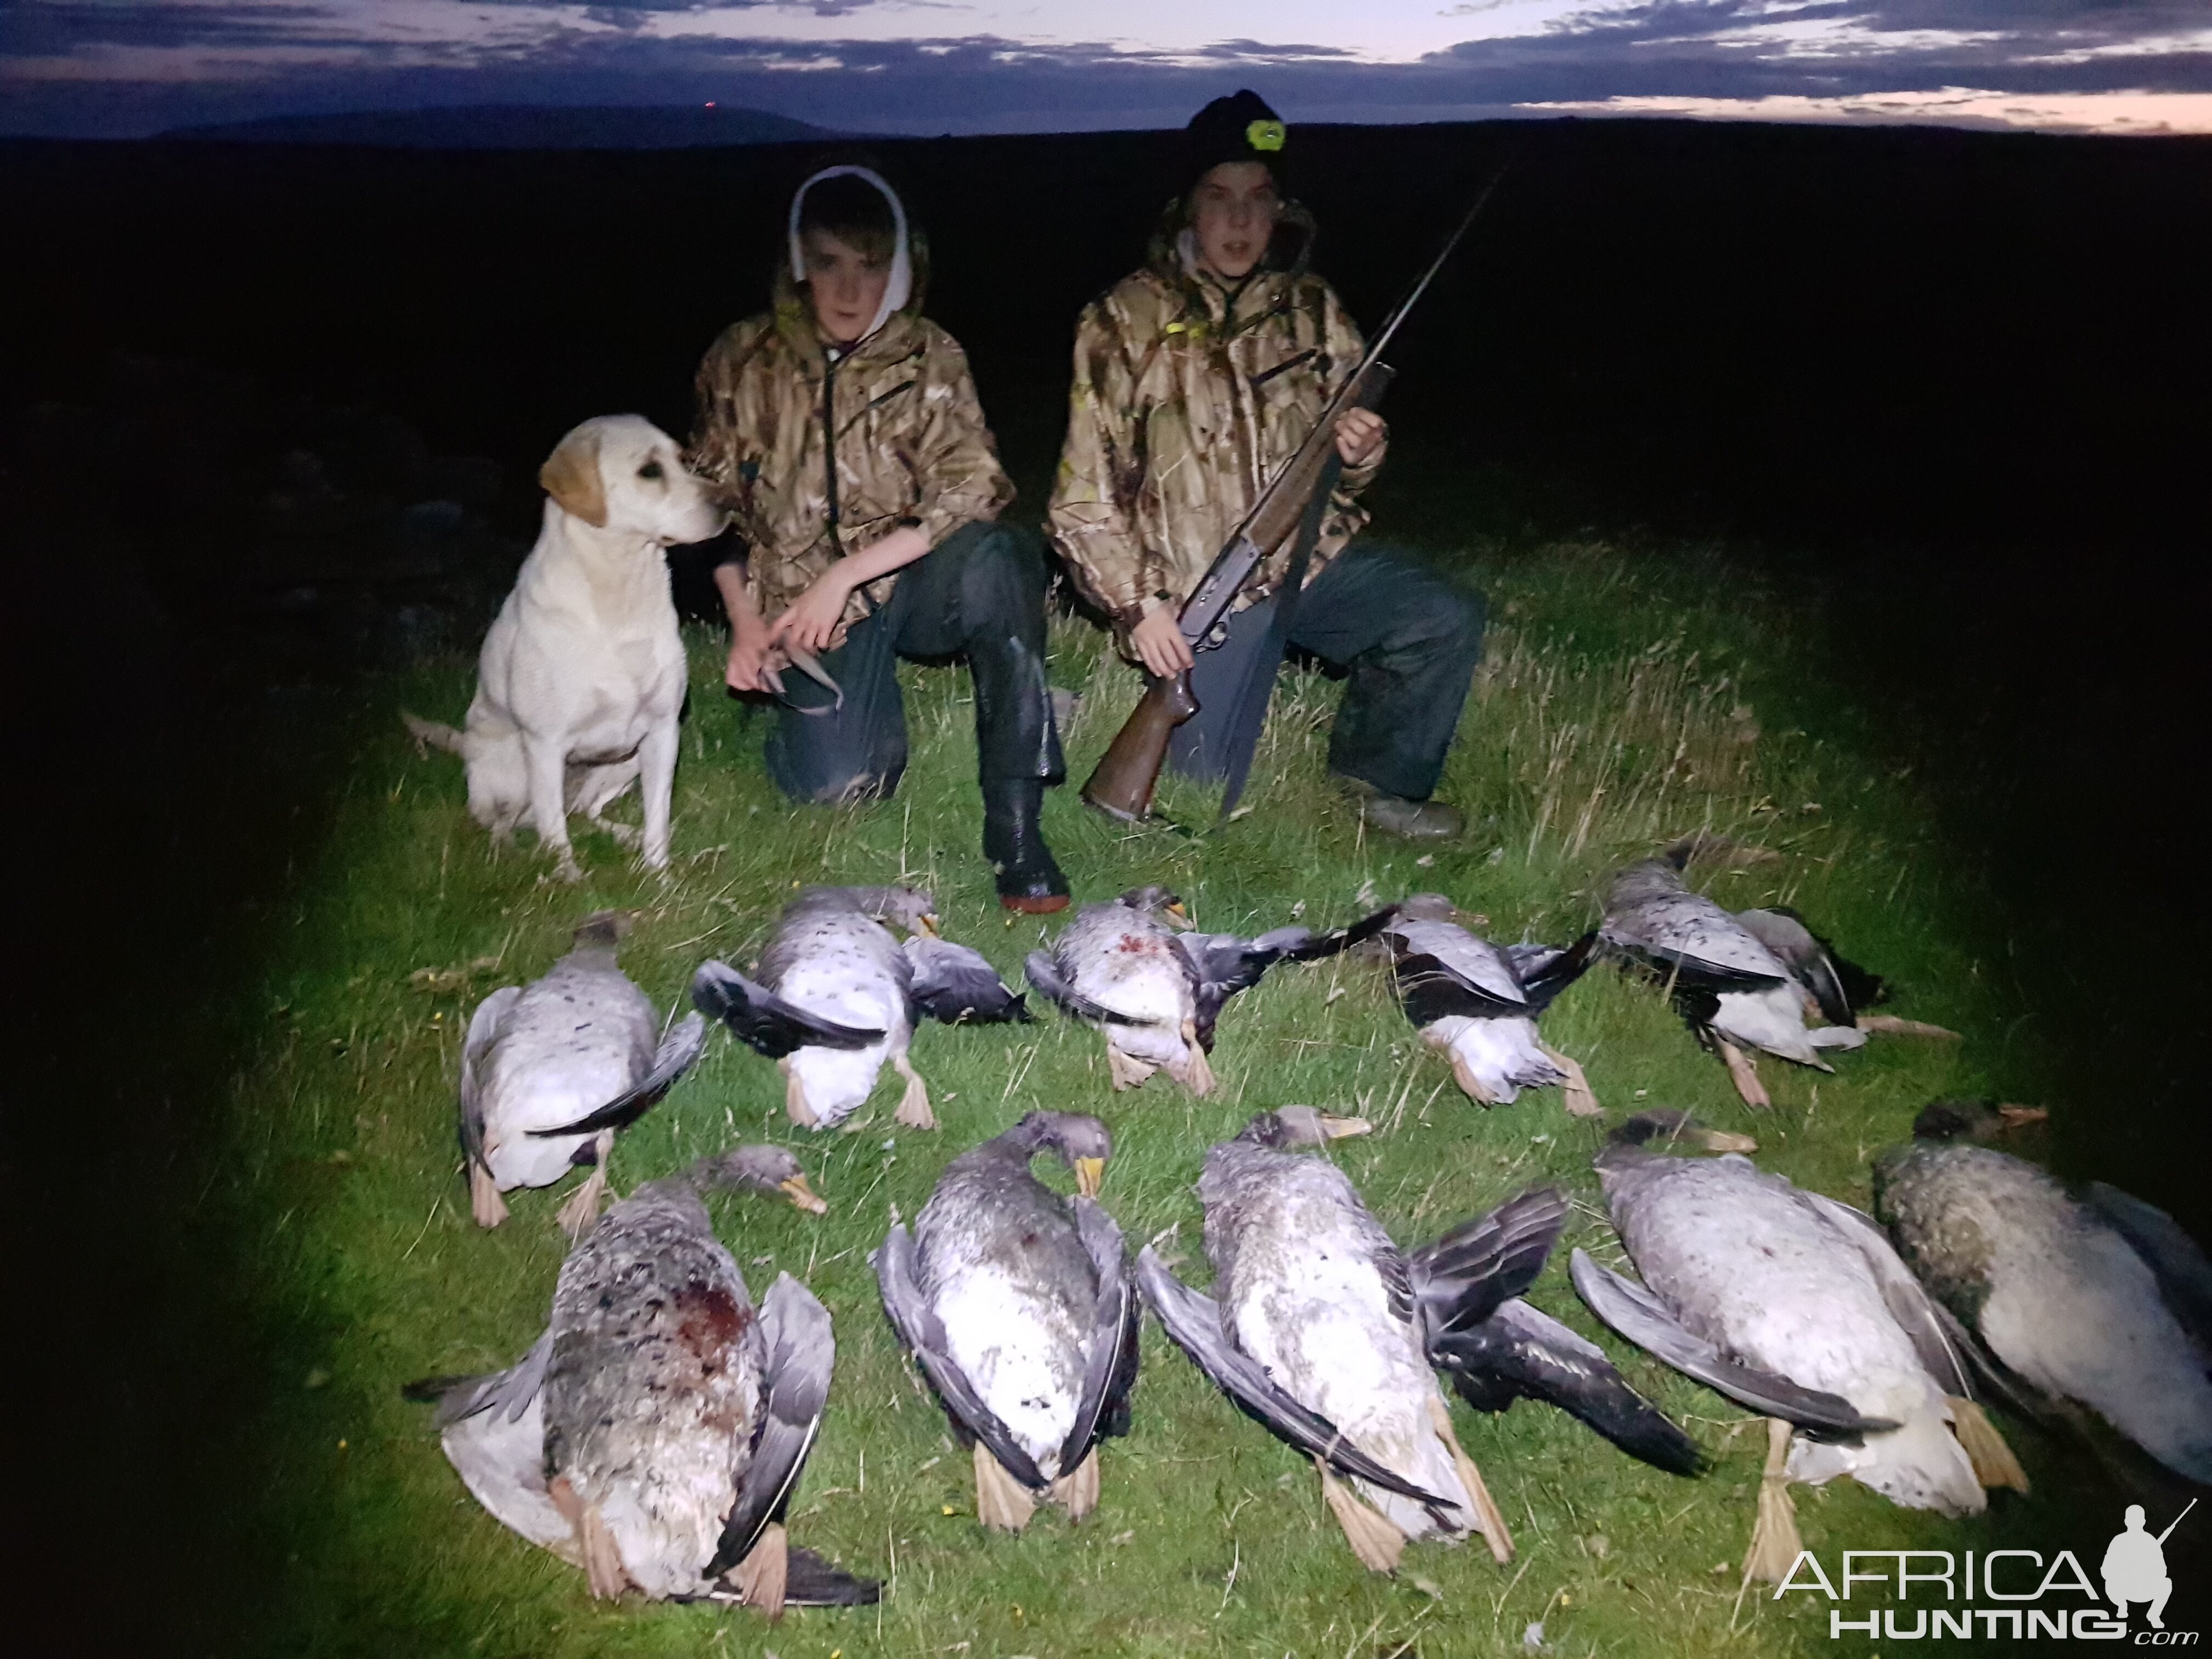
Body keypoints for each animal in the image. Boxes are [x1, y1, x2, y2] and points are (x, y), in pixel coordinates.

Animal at [407, 416, 725, 884]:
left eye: (683, 459)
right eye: (650, 471)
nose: (732, 502)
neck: (621, 597)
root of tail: (466, 748)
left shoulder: (663, 731)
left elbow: (658, 819)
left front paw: (659, 876)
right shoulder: (545, 743)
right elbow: (554, 830)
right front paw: (569, 880)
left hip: (625, 762)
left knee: (585, 812)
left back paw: (624, 836)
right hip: (517, 767)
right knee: (506, 820)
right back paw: (511, 853)